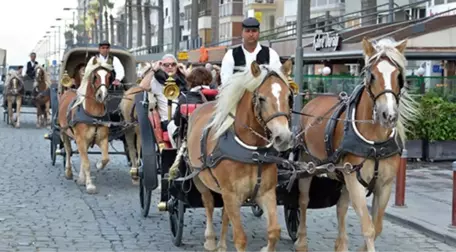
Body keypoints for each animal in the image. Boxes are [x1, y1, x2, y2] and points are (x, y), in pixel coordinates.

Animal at [57, 58, 113, 194]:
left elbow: (105, 159)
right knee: (68, 151)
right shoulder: (80, 139)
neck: (94, 115)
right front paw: (90, 185)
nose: (102, 95)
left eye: (109, 76)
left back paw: (81, 178)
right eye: (95, 76)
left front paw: (98, 165)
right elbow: (86, 162)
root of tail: (69, 90)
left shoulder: (102, 139)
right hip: (63, 132)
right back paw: (68, 172)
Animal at [187, 60, 294, 252]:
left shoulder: (266, 192)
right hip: (199, 177)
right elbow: (240, 238)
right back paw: (211, 239)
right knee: (208, 203)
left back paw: (222, 245)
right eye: (261, 98)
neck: (253, 152)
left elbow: (274, 231)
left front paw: (266, 248)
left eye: (289, 97)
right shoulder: (231, 194)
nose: (284, 137)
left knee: (225, 213)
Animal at [294, 38, 418, 252]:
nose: (389, 115)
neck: (375, 142)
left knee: (341, 207)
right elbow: (368, 228)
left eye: (398, 76)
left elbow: (377, 227)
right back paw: (301, 241)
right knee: (303, 200)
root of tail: (313, 100)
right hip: (307, 165)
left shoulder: (384, 184)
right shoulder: (354, 179)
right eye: (372, 75)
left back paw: (341, 244)